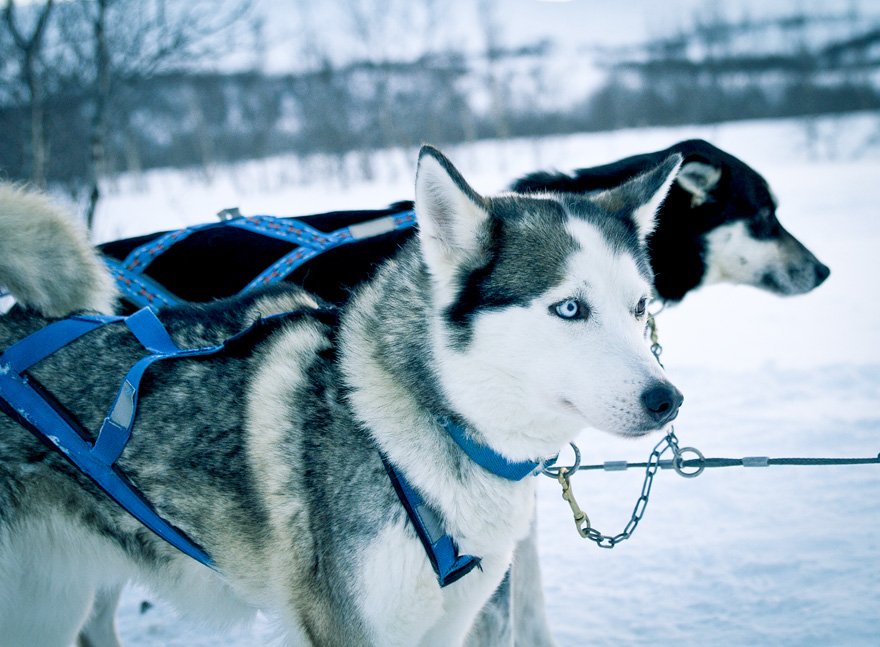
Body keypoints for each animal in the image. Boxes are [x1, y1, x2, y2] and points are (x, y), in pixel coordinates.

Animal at [0, 148, 680, 647]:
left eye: (639, 306)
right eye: (569, 308)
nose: (667, 400)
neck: (414, 439)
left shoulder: (449, 625)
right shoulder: (348, 630)